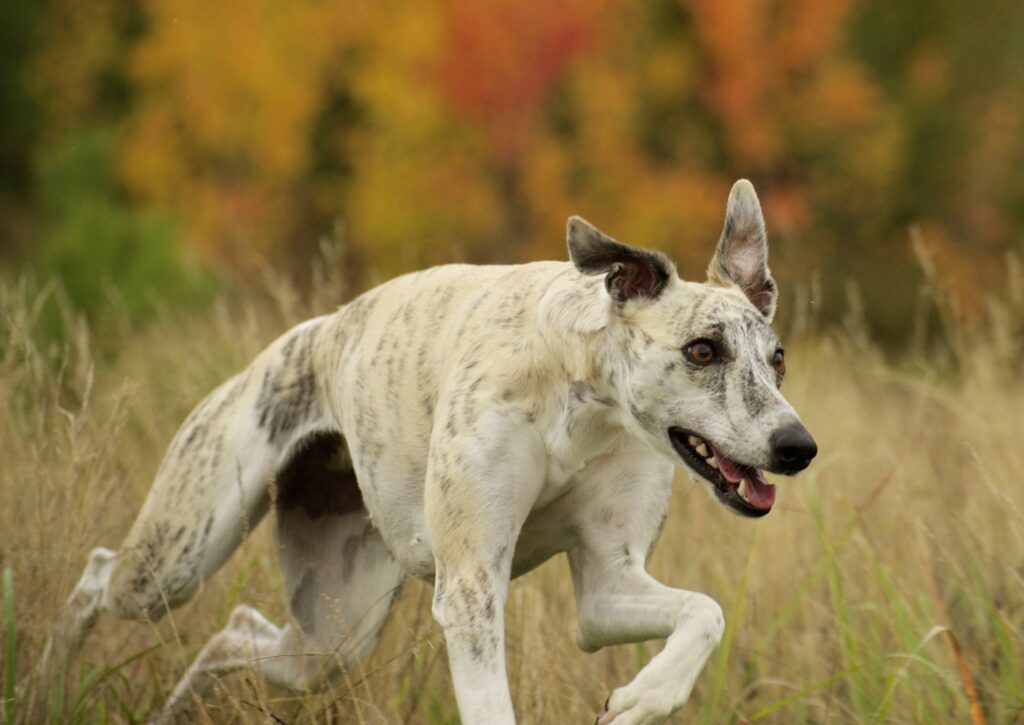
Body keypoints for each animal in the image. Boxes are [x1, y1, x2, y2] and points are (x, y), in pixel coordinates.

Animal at [39, 178, 815, 720]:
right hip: (178, 557)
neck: (582, 399)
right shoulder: (471, 590)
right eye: (702, 349)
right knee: (98, 575)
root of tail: (310, 334)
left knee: (234, 632)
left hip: (335, 631)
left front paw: (643, 698)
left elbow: (705, 611)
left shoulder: (607, 582)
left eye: (778, 359)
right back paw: (50, 675)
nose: (798, 446)